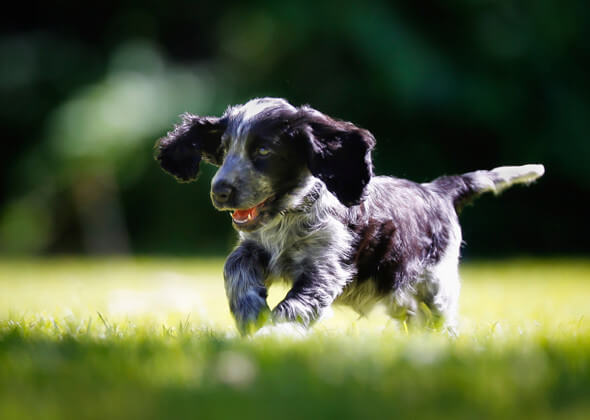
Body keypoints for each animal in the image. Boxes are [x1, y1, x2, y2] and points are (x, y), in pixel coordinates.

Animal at [156, 97, 544, 336]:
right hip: (399, 294)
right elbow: (234, 266)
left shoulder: (326, 266)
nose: (219, 191)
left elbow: (296, 305)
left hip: (436, 283)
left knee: (440, 319)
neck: (290, 211)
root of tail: (438, 189)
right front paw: (251, 312)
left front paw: (274, 335)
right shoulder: (255, 248)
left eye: (263, 151)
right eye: (222, 151)